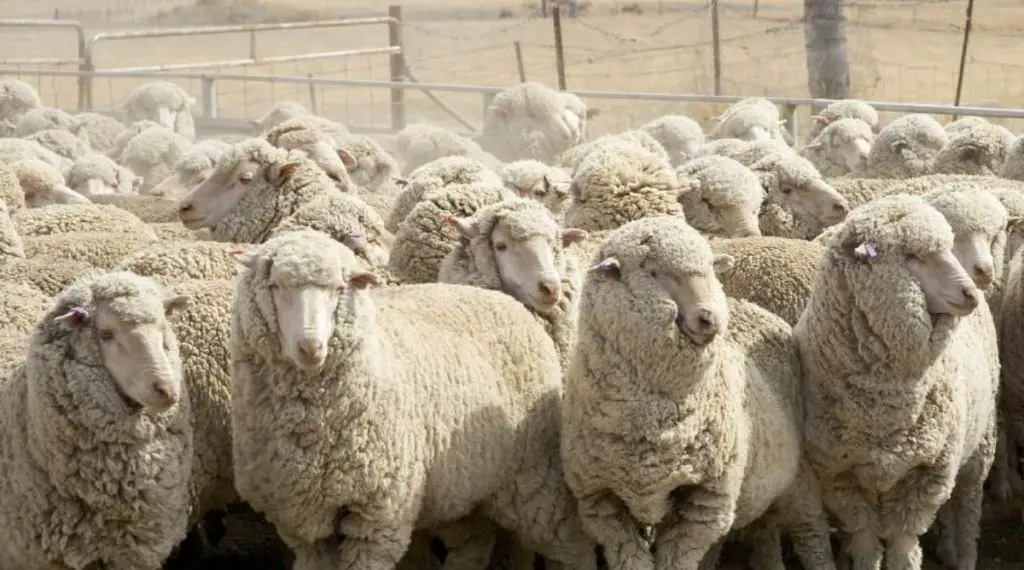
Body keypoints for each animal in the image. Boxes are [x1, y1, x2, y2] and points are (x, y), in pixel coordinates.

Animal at [228, 229, 598, 568]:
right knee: (475, 541)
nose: (310, 347)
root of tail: (508, 302)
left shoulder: (379, 516)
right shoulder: (301, 522)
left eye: (338, 289)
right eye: (276, 286)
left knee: (572, 541)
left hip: (533, 472)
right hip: (458, 483)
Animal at [794, 192, 995, 568]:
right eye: (914, 256)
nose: (971, 294)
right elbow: (865, 543)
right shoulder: (840, 476)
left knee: (969, 504)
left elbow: (903, 547)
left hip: (981, 441)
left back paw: (965, 554)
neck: (882, 403)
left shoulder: (927, 474)